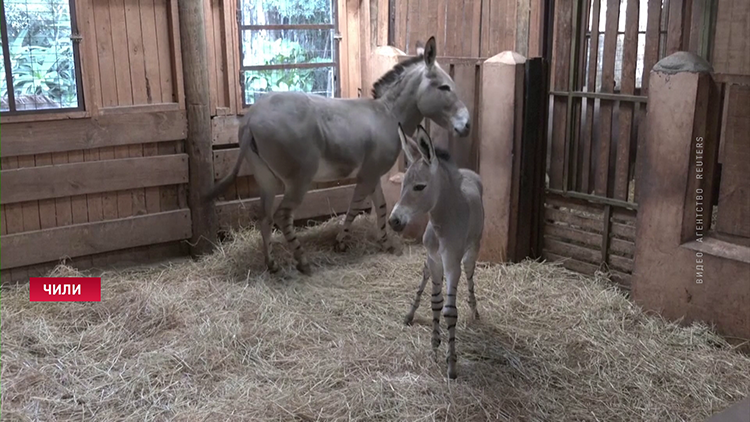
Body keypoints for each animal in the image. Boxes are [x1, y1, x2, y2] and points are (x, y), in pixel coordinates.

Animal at [390, 123, 484, 378]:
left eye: (419, 187)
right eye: (402, 186)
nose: (394, 221)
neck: (443, 221)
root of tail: (469, 172)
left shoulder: (451, 264)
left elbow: (449, 310)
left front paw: (451, 364)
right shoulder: (433, 259)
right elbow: (435, 302)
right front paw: (434, 342)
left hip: (471, 252)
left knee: (470, 277)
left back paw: (475, 312)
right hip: (432, 262)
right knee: (424, 278)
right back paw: (410, 314)